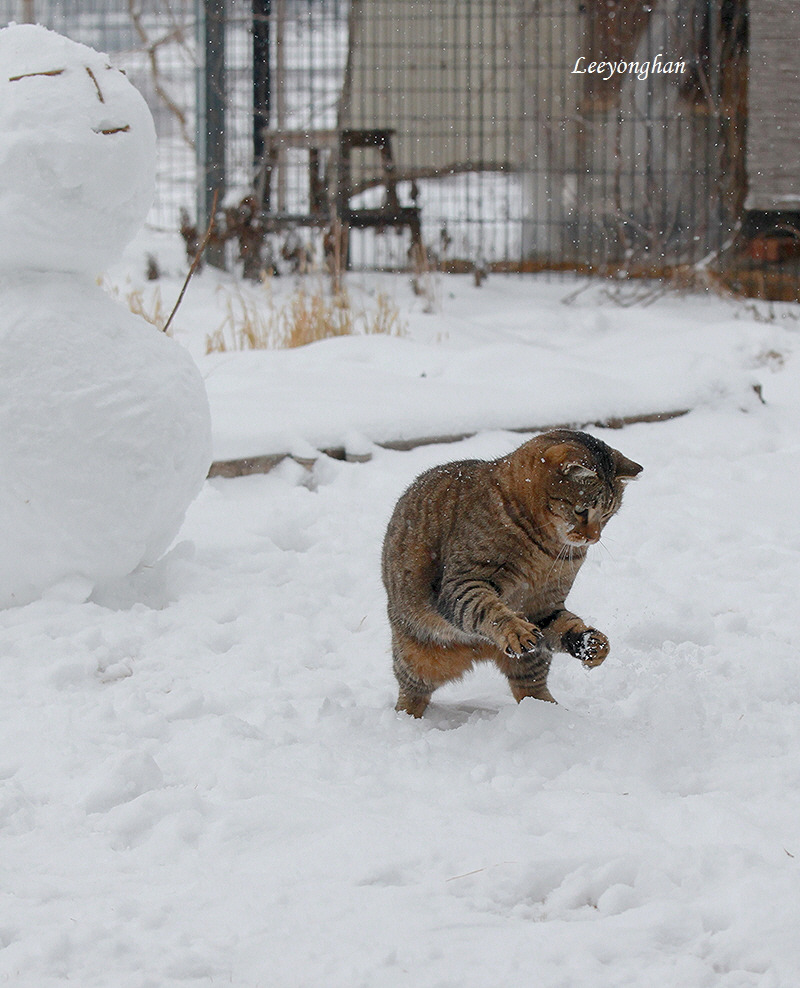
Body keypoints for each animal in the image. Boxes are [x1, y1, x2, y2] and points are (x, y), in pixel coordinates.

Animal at [382, 432, 644, 716]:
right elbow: (487, 608)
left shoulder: (543, 605)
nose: (594, 537)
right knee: (411, 693)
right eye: (582, 510)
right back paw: (406, 720)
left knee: (532, 690)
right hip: (415, 660)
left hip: (532, 660)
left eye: (607, 514)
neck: (546, 548)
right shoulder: (462, 581)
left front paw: (590, 642)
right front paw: (515, 629)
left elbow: (564, 623)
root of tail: (480, 649)